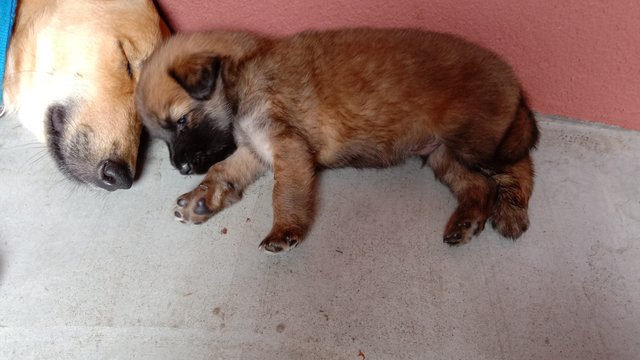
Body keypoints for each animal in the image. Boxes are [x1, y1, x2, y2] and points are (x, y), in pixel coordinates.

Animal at [136, 28, 540, 253]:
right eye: (161, 135)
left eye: (181, 121)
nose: (181, 167)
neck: (242, 72)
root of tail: (514, 85)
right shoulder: (254, 146)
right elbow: (223, 170)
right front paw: (201, 199)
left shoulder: (288, 146)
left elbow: (284, 194)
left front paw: (284, 231)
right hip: (443, 153)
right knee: (478, 186)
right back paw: (466, 222)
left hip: (477, 143)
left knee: (519, 165)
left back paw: (511, 213)